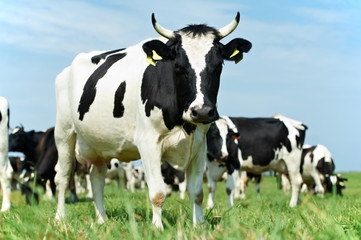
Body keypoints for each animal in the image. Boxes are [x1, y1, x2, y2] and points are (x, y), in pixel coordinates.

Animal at [53, 11, 252, 229]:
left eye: (218, 66)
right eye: (178, 66)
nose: (201, 111)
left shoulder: (200, 145)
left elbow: (197, 192)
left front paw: (199, 226)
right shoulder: (148, 142)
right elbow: (158, 192)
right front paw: (157, 228)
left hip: (98, 144)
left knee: (97, 179)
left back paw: (102, 220)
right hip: (63, 134)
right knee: (63, 177)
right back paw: (60, 218)